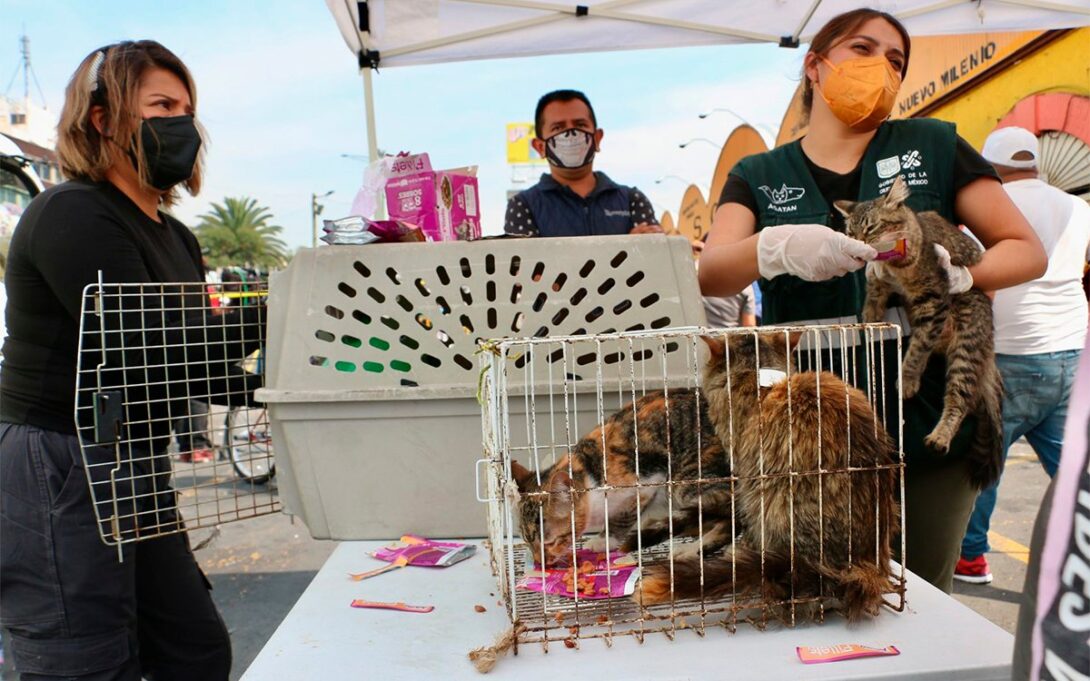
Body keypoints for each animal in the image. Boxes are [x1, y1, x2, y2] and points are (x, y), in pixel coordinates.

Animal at [507, 387, 736, 566]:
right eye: (527, 541)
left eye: (550, 542)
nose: (540, 562)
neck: (589, 471)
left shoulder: (648, 479)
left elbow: (624, 516)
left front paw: (603, 540)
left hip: (688, 477)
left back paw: (691, 549)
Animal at [832, 172, 1002, 485]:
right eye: (850, 233)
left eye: (871, 227)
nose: (858, 243)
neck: (895, 265)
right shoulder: (880, 282)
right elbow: (872, 298)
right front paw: (868, 320)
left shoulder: (933, 303)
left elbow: (917, 350)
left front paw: (908, 380)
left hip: (966, 346)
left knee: (960, 399)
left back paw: (940, 437)